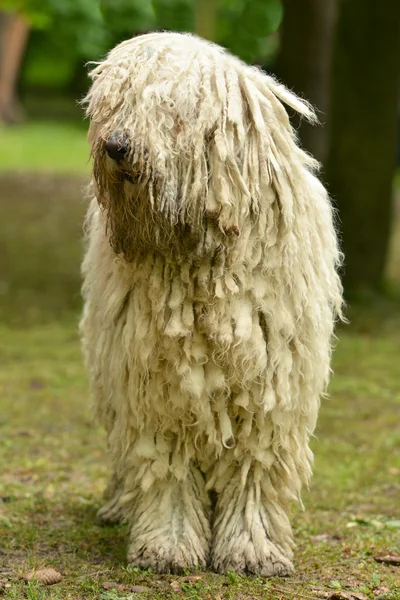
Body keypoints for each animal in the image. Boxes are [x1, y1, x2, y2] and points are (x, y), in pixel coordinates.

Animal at [79, 30, 342, 576]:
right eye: (117, 100)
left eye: (171, 108)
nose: (116, 145)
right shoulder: (159, 387)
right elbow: (166, 468)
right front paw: (167, 545)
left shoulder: (270, 390)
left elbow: (253, 470)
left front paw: (253, 550)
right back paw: (118, 505)